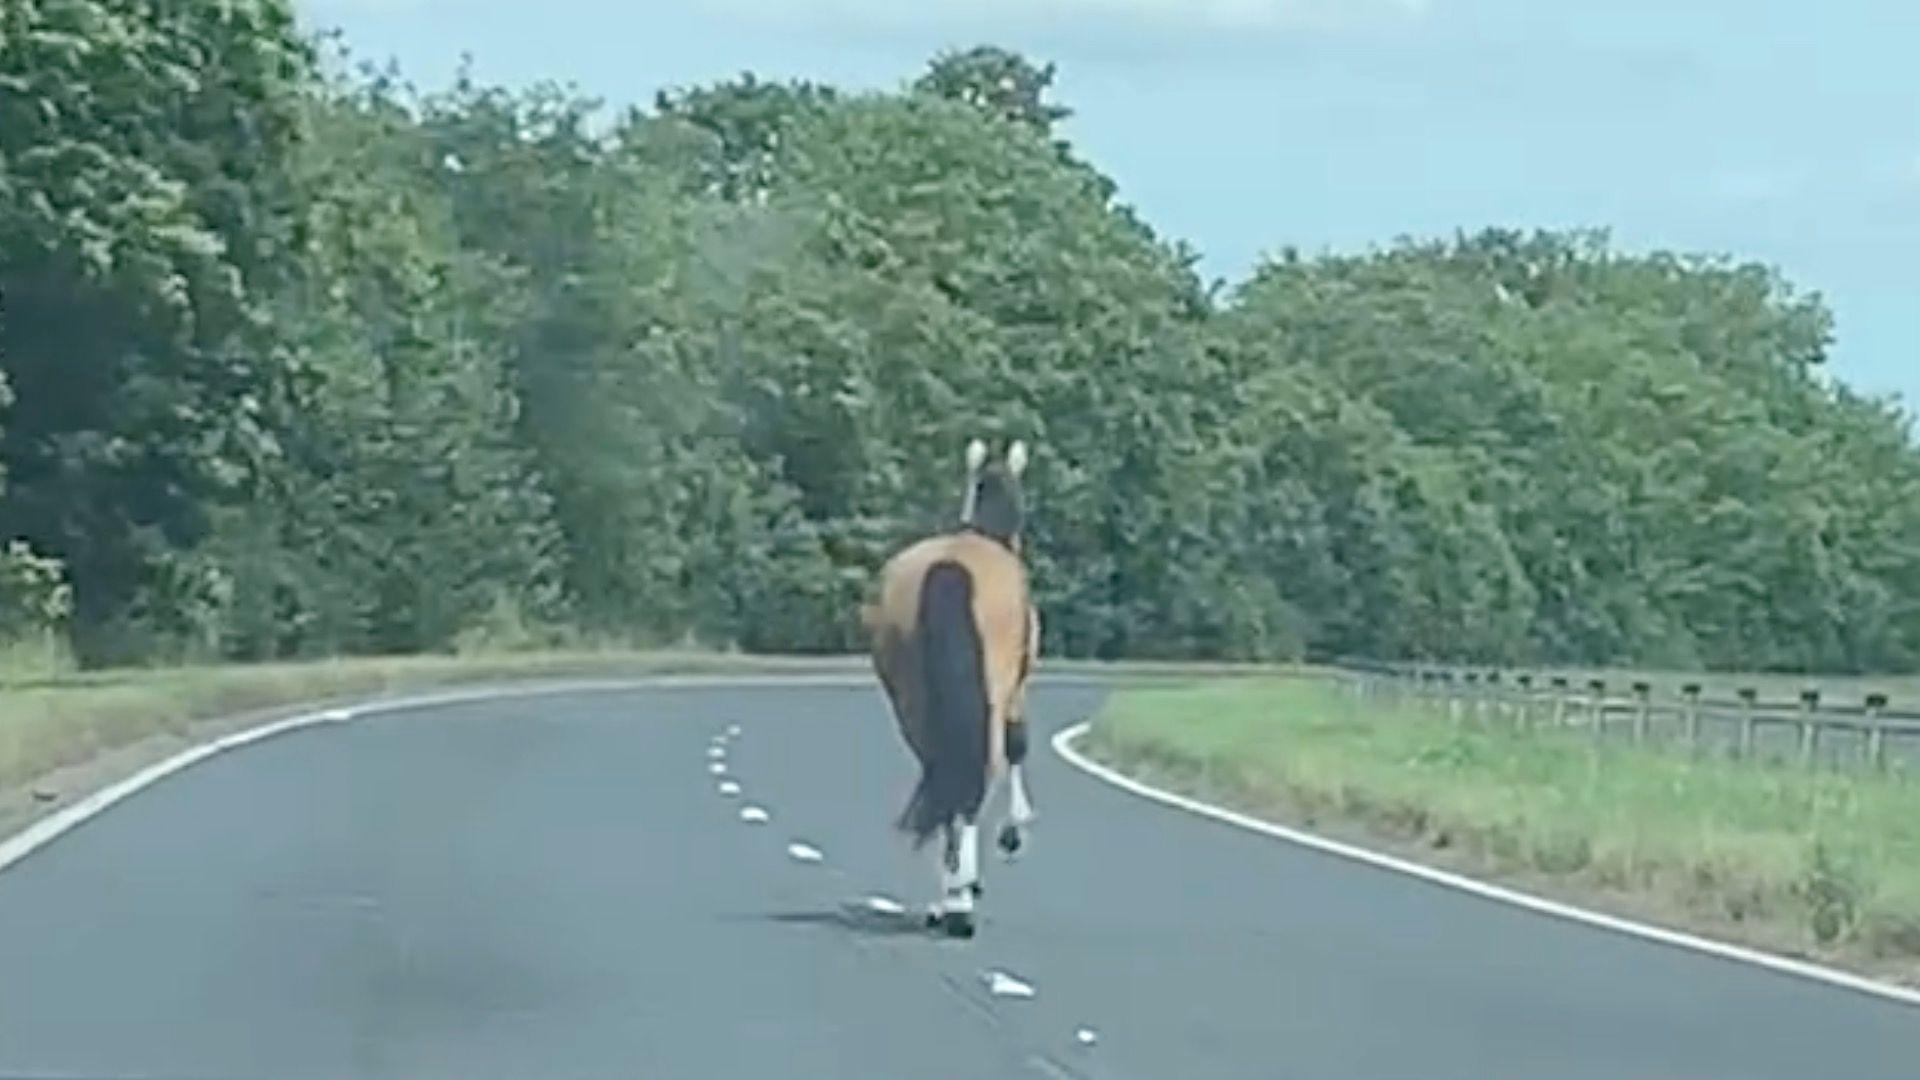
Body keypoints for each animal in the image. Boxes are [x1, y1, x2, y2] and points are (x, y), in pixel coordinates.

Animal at [867, 438, 1044, 933]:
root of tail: (950, 568)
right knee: (982, 771)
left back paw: (951, 896)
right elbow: (1019, 746)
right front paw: (1014, 831)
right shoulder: (1016, 690)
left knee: (943, 772)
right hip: (992, 694)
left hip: (915, 703)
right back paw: (960, 900)